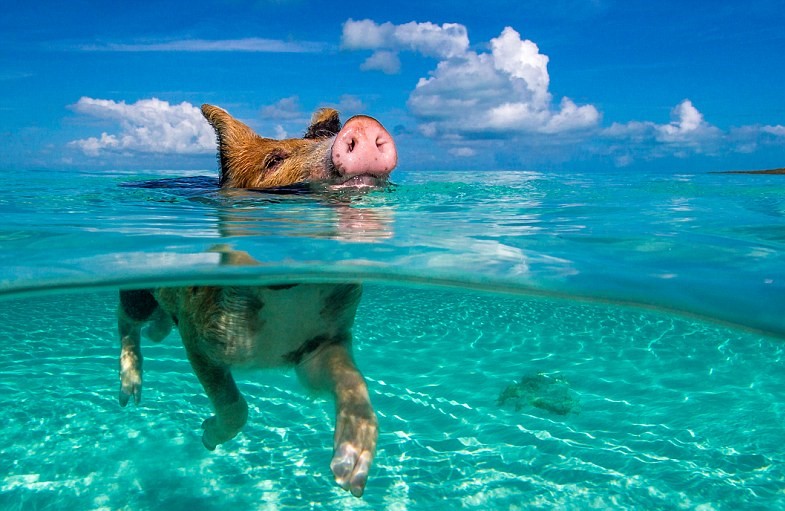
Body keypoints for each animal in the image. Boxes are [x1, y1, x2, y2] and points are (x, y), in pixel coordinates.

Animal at [116, 102, 398, 498]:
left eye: (324, 141)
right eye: (273, 161)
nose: (364, 124)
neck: (290, 297)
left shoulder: (319, 344)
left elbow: (353, 380)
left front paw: (350, 475)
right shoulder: (198, 335)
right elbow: (234, 404)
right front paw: (206, 438)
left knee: (153, 328)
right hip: (139, 292)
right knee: (126, 320)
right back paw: (130, 395)